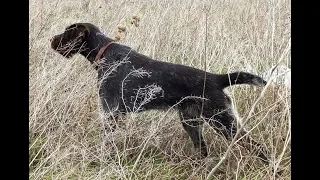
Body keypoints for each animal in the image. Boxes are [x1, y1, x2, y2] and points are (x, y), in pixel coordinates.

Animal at [50, 22, 270, 163]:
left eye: (66, 33)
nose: (51, 39)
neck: (105, 53)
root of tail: (217, 78)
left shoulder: (110, 112)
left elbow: (107, 143)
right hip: (191, 122)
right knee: (203, 150)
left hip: (223, 122)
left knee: (260, 148)